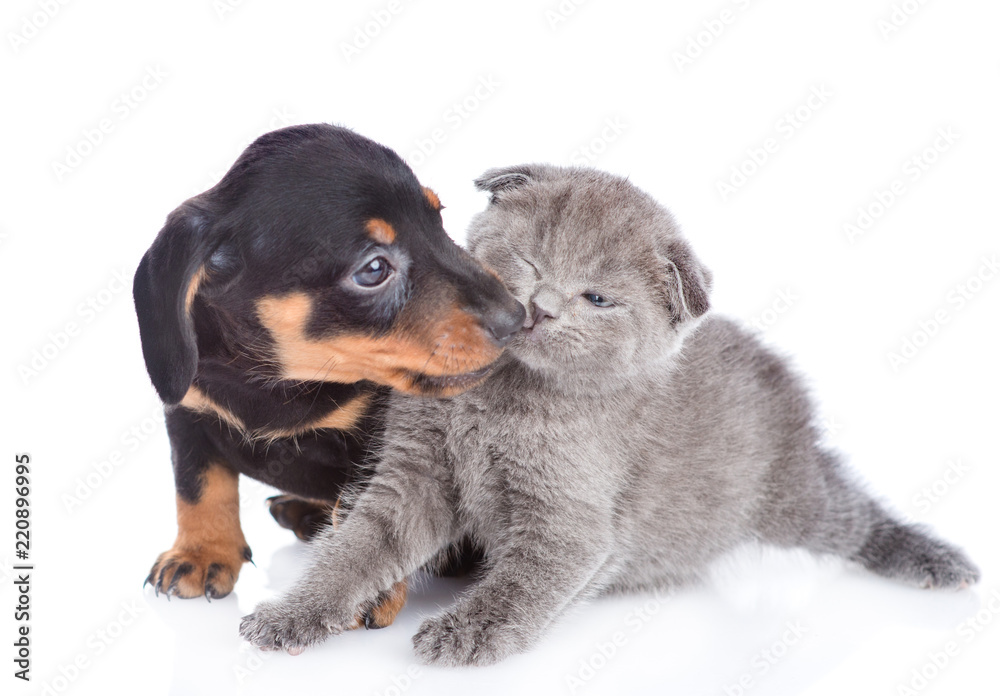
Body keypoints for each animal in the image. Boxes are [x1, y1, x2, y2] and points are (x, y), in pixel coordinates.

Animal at [135, 123, 524, 624]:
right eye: (373, 268)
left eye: (438, 221)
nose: (517, 318)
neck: (278, 382)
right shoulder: (188, 410)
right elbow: (198, 486)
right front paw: (201, 554)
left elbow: (370, 514)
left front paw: (361, 583)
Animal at [240, 166, 976, 668]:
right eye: (528, 259)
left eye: (597, 298)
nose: (540, 306)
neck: (502, 399)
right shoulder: (413, 474)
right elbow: (357, 549)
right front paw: (293, 615)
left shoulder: (570, 523)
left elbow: (523, 584)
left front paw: (467, 630)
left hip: (788, 498)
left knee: (851, 517)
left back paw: (931, 559)